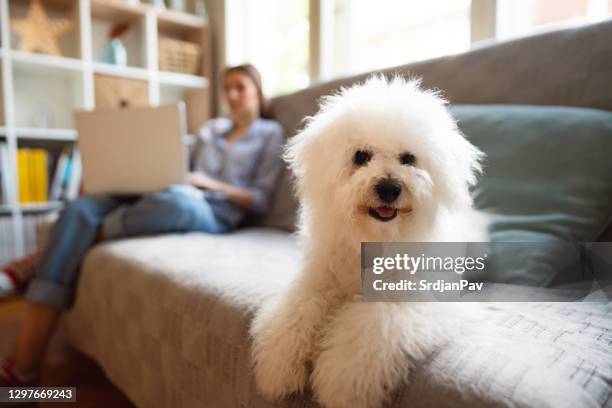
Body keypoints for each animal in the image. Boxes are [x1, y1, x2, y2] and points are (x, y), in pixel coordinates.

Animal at [250, 75, 488, 408]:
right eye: (361, 156)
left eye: (408, 158)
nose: (389, 188)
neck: (373, 237)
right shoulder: (318, 282)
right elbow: (294, 314)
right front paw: (278, 367)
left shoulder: (413, 300)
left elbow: (371, 330)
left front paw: (340, 385)